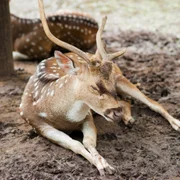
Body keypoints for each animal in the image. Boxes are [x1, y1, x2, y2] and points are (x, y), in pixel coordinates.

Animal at [19, 0, 180, 176]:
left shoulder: (88, 115)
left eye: (109, 84)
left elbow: (89, 142)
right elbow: (75, 144)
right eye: (94, 87)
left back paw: (176, 124)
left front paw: (105, 165)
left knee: (153, 103)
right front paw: (102, 165)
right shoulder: (38, 124)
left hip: (121, 78)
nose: (116, 113)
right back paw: (128, 118)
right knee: (125, 101)